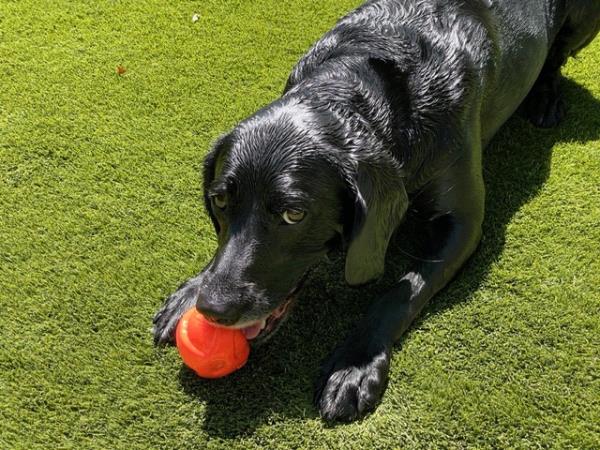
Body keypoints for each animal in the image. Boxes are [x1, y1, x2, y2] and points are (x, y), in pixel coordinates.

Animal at [155, 0, 600, 422]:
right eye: (220, 200)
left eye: (294, 214)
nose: (213, 309)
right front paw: (191, 290)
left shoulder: (464, 223)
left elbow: (400, 290)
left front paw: (355, 365)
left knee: (555, 59)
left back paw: (546, 97)